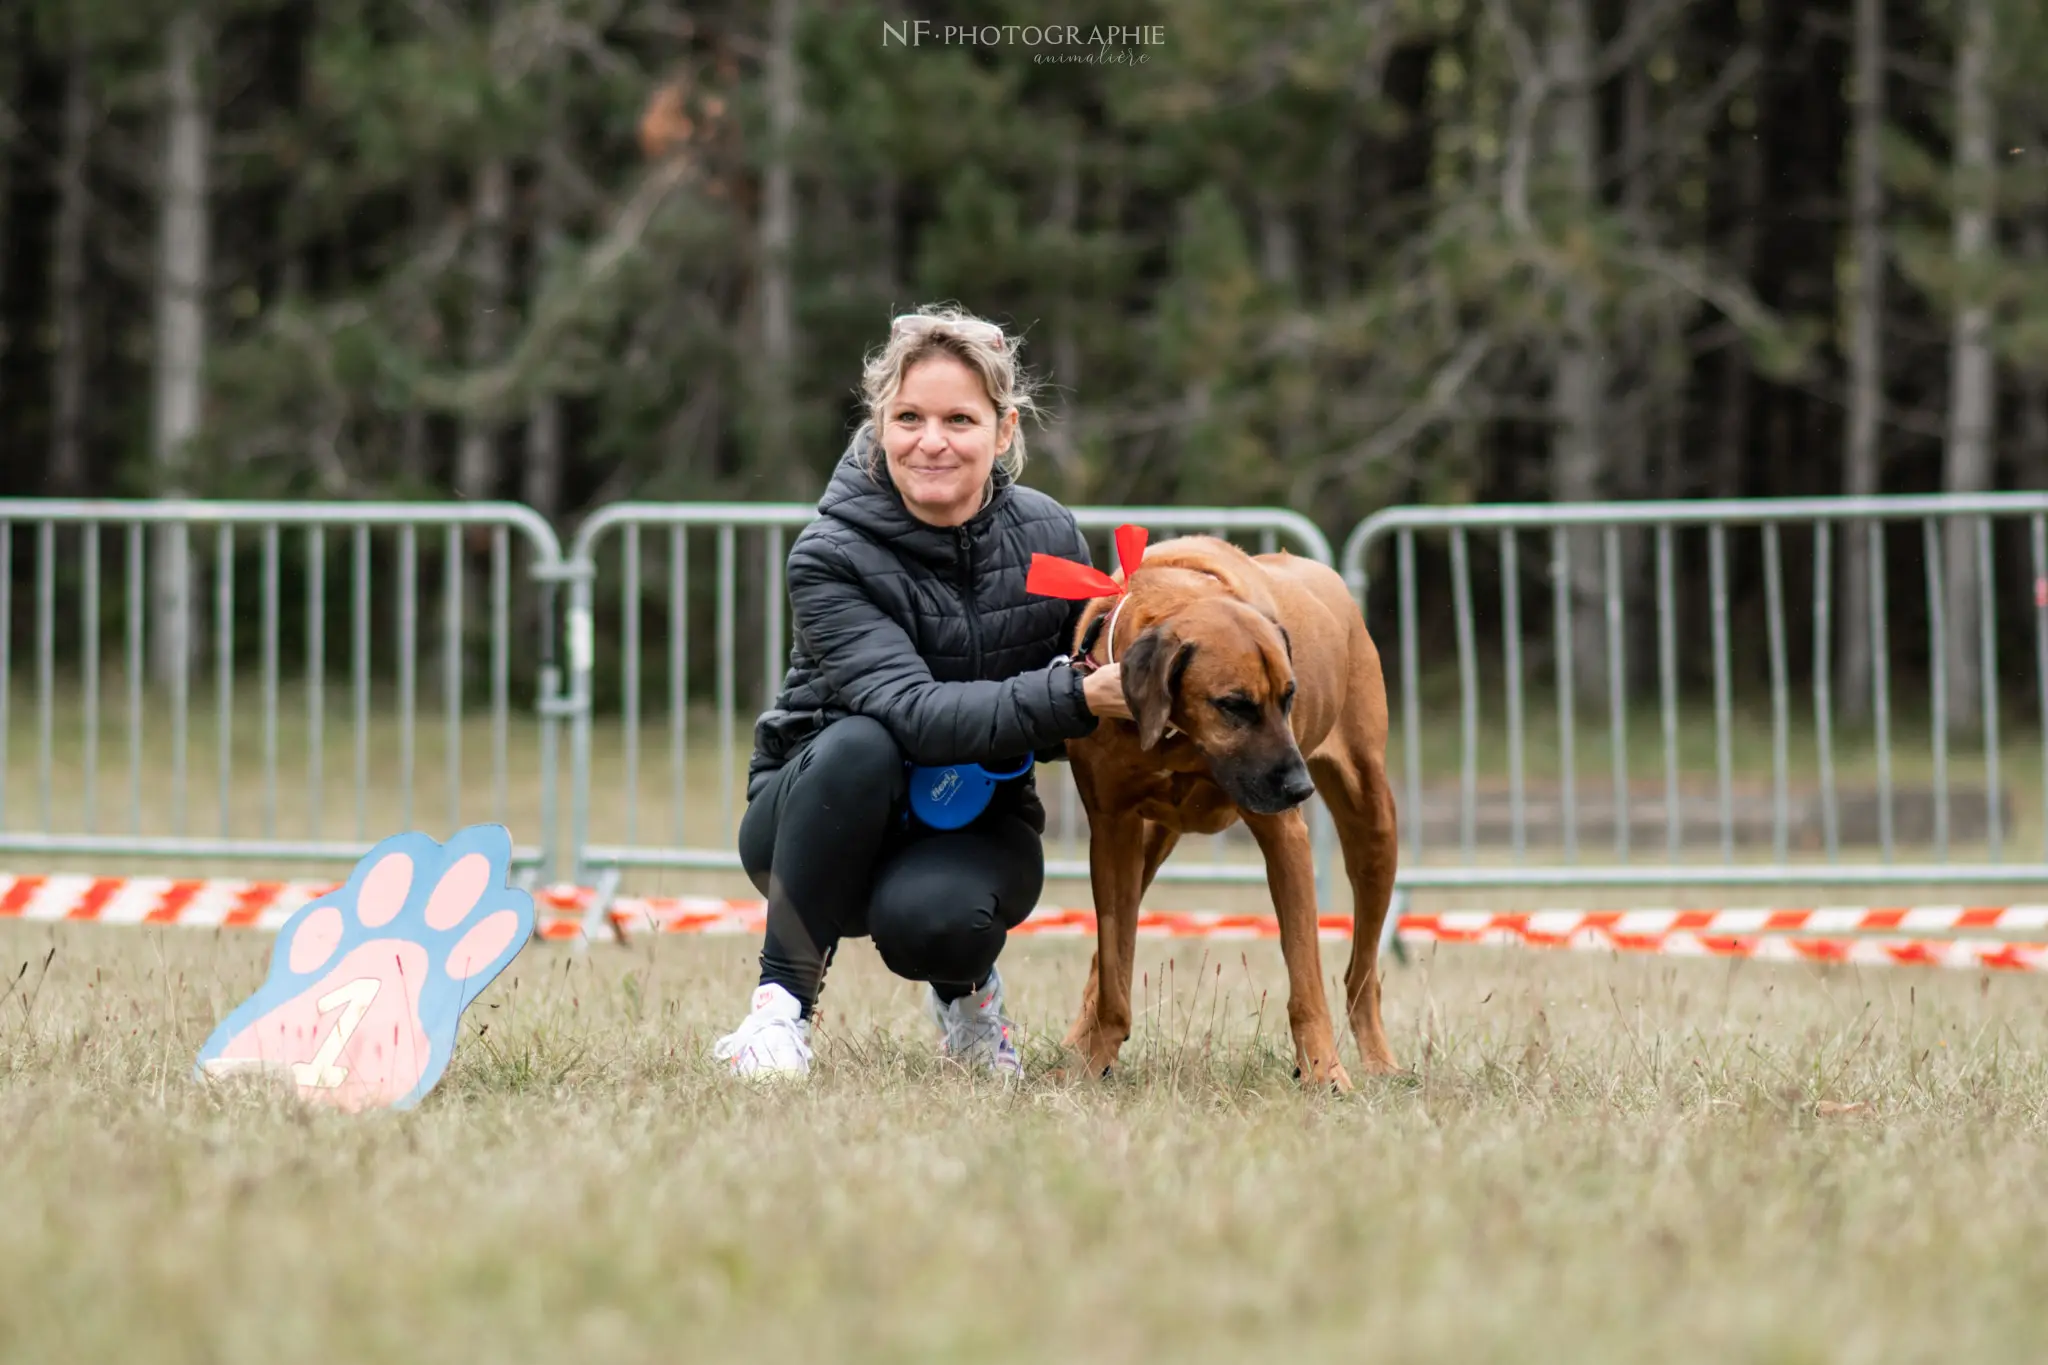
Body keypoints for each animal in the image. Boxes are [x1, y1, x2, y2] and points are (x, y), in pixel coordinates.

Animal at [1064, 532, 1400, 1088]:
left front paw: (1324, 1073)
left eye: (1289, 697)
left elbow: (1306, 980)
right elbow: (1114, 966)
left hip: (1373, 821)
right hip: (1152, 840)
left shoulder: (1286, 836)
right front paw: (1091, 1063)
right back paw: (1077, 1039)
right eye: (1234, 705)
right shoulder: (1111, 829)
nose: (1300, 788)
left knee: (1362, 973)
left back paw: (1380, 1062)